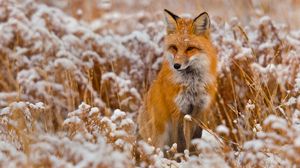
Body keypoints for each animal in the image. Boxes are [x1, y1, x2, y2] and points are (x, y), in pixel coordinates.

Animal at [137, 8, 217, 152]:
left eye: (190, 48)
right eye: (174, 47)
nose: (176, 65)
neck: (192, 83)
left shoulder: (200, 110)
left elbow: (195, 140)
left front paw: (194, 155)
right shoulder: (178, 110)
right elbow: (179, 142)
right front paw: (181, 156)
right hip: (159, 136)